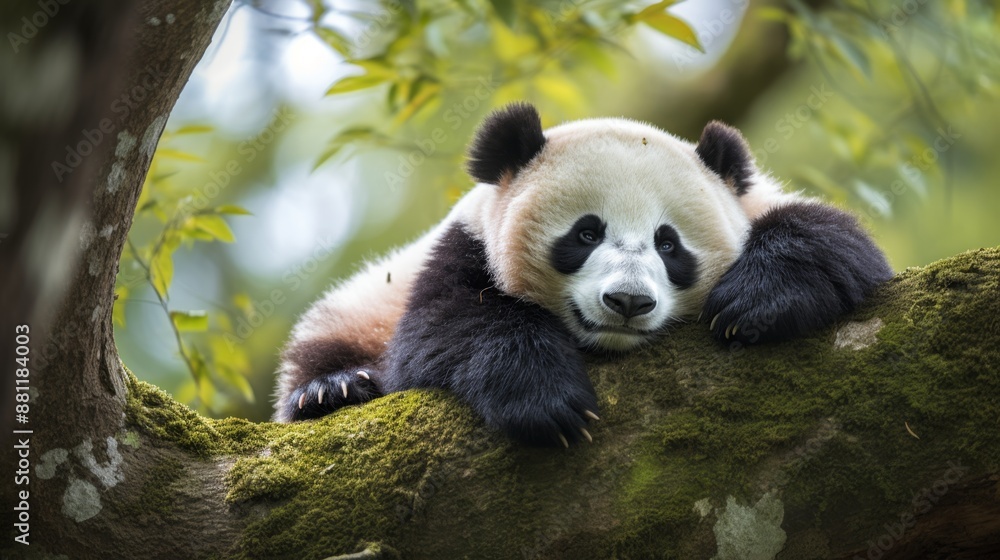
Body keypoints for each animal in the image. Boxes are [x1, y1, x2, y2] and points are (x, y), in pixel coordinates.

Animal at [273, 102, 892, 446]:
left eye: (669, 244)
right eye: (586, 233)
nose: (628, 302)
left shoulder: (755, 201)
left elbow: (836, 241)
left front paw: (754, 304)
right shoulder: (462, 245)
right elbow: (444, 328)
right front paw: (549, 402)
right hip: (360, 307)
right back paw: (333, 388)